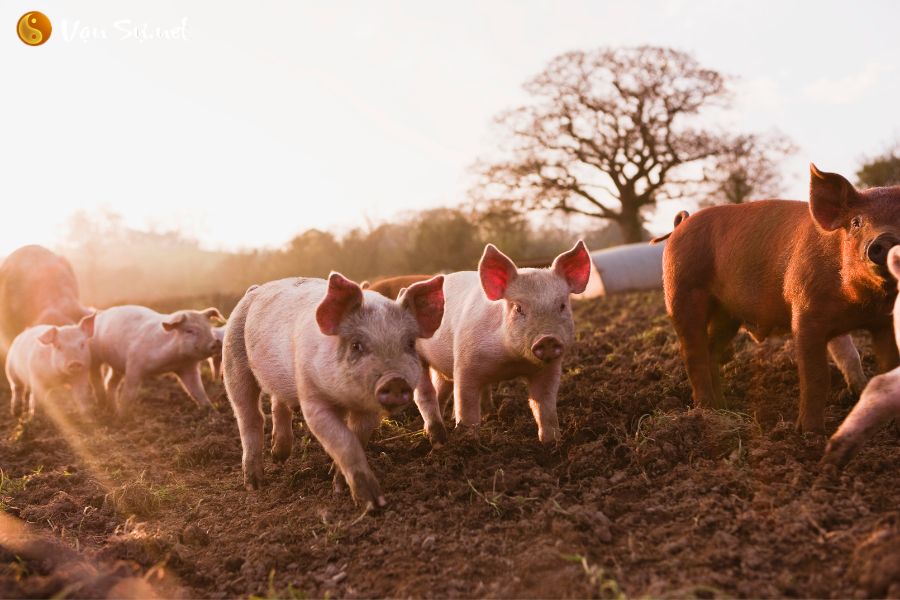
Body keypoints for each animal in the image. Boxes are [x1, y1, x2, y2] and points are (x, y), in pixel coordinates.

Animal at [89, 304, 225, 418]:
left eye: (209, 328)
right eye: (189, 331)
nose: (216, 343)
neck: (172, 361)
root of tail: (101, 313)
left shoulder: (187, 368)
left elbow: (198, 392)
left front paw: (215, 414)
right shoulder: (134, 364)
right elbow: (129, 393)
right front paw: (123, 418)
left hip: (117, 366)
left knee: (110, 383)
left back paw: (113, 410)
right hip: (94, 356)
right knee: (96, 377)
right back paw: (105, 406)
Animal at [414, 240, 592, 446]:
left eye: (562, 306)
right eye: (518, 308)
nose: (547, 339)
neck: (512, 362)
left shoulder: (550, 369)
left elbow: (545, 406)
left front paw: (551, 443)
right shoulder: (465, 364)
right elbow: (467, 407)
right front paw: (469, 443)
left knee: (441, 390)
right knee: (425, 394)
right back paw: (436, 437)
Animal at [660, 165, 900, 432]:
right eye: (856, 222)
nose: (886, 239)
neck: (858, 303)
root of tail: (681, 224)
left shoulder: (884, 322)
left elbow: (883, 365)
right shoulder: (805, 313)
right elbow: (816, 376)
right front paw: (810, 433)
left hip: (727, 314)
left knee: (711, 349)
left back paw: (723, 406)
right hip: (682, 293)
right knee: (693, 352)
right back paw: (706, 410)